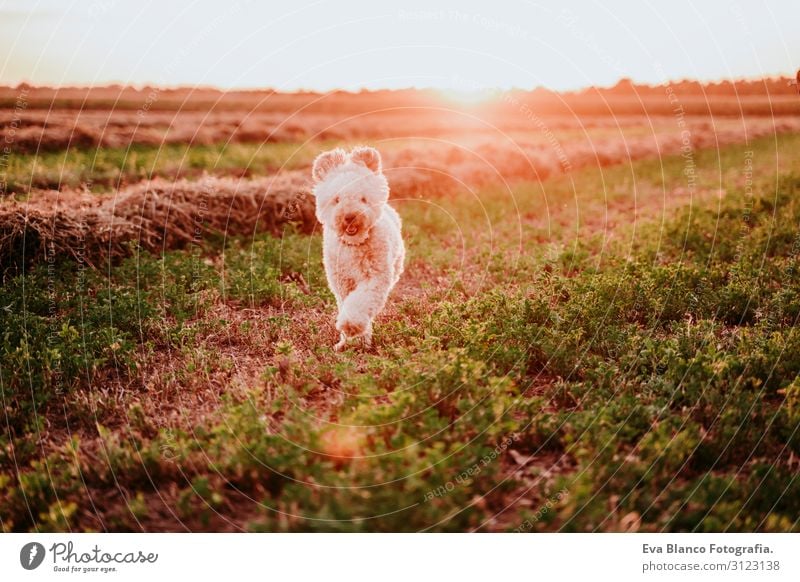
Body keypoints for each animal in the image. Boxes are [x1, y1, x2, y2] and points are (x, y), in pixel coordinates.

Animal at [310, 148, 404, 354]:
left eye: (363, 199)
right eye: (337, 200)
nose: (350, 216)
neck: (354, 244)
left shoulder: (375, 279)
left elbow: (360, 303)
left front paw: (351, 326)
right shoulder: (342, 284)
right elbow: (346, 304)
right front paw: (349, 341)